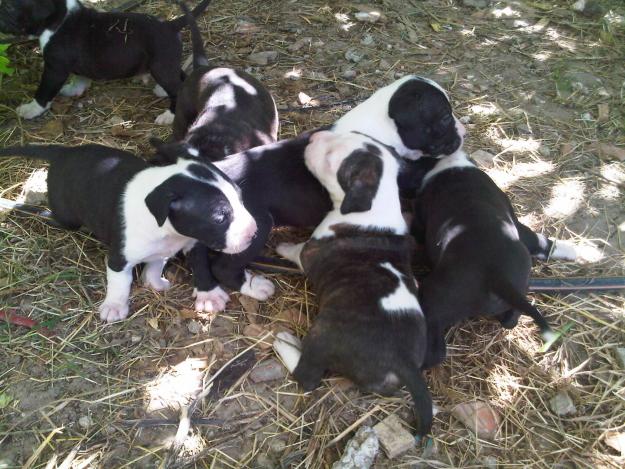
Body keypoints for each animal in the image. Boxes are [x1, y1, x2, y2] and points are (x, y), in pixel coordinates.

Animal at [0, 0, 212, 123]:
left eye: (9, 6)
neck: (58, 18)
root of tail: (170, 24)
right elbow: (80, 78)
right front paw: (74, 89)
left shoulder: (55, 69)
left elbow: (44, 91)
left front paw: (31, 109)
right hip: (166, 63)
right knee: (180, 76)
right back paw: (162, 90)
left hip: (161, 67)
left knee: (176, 87)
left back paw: (169, 115)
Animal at [0, 144, 256, 322]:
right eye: (219, 217)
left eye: (241, 197)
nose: (253, 233)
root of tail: (63, 152)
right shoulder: (119, 258)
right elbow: (119, 282)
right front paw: (115, 306)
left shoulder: (192, 240)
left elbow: (194, 264)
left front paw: (206, 294)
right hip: (67, 218)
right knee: (48, 215)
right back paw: (18, 205)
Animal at [276, 131, 432, 436]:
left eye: (330, 159)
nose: (314, 137)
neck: (377, 203)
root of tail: (403, 361)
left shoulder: (309, 253)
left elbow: (297, 250)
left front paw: (283, 246)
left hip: (322, 335)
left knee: (307, 376)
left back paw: (285, 343)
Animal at [408, 152, 576, 368]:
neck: (451, 165)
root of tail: (496, 276)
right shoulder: (519, 226)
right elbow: (541, 242)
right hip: (521, 285)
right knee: (511, 320)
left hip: (433, 297)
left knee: (436, 351)